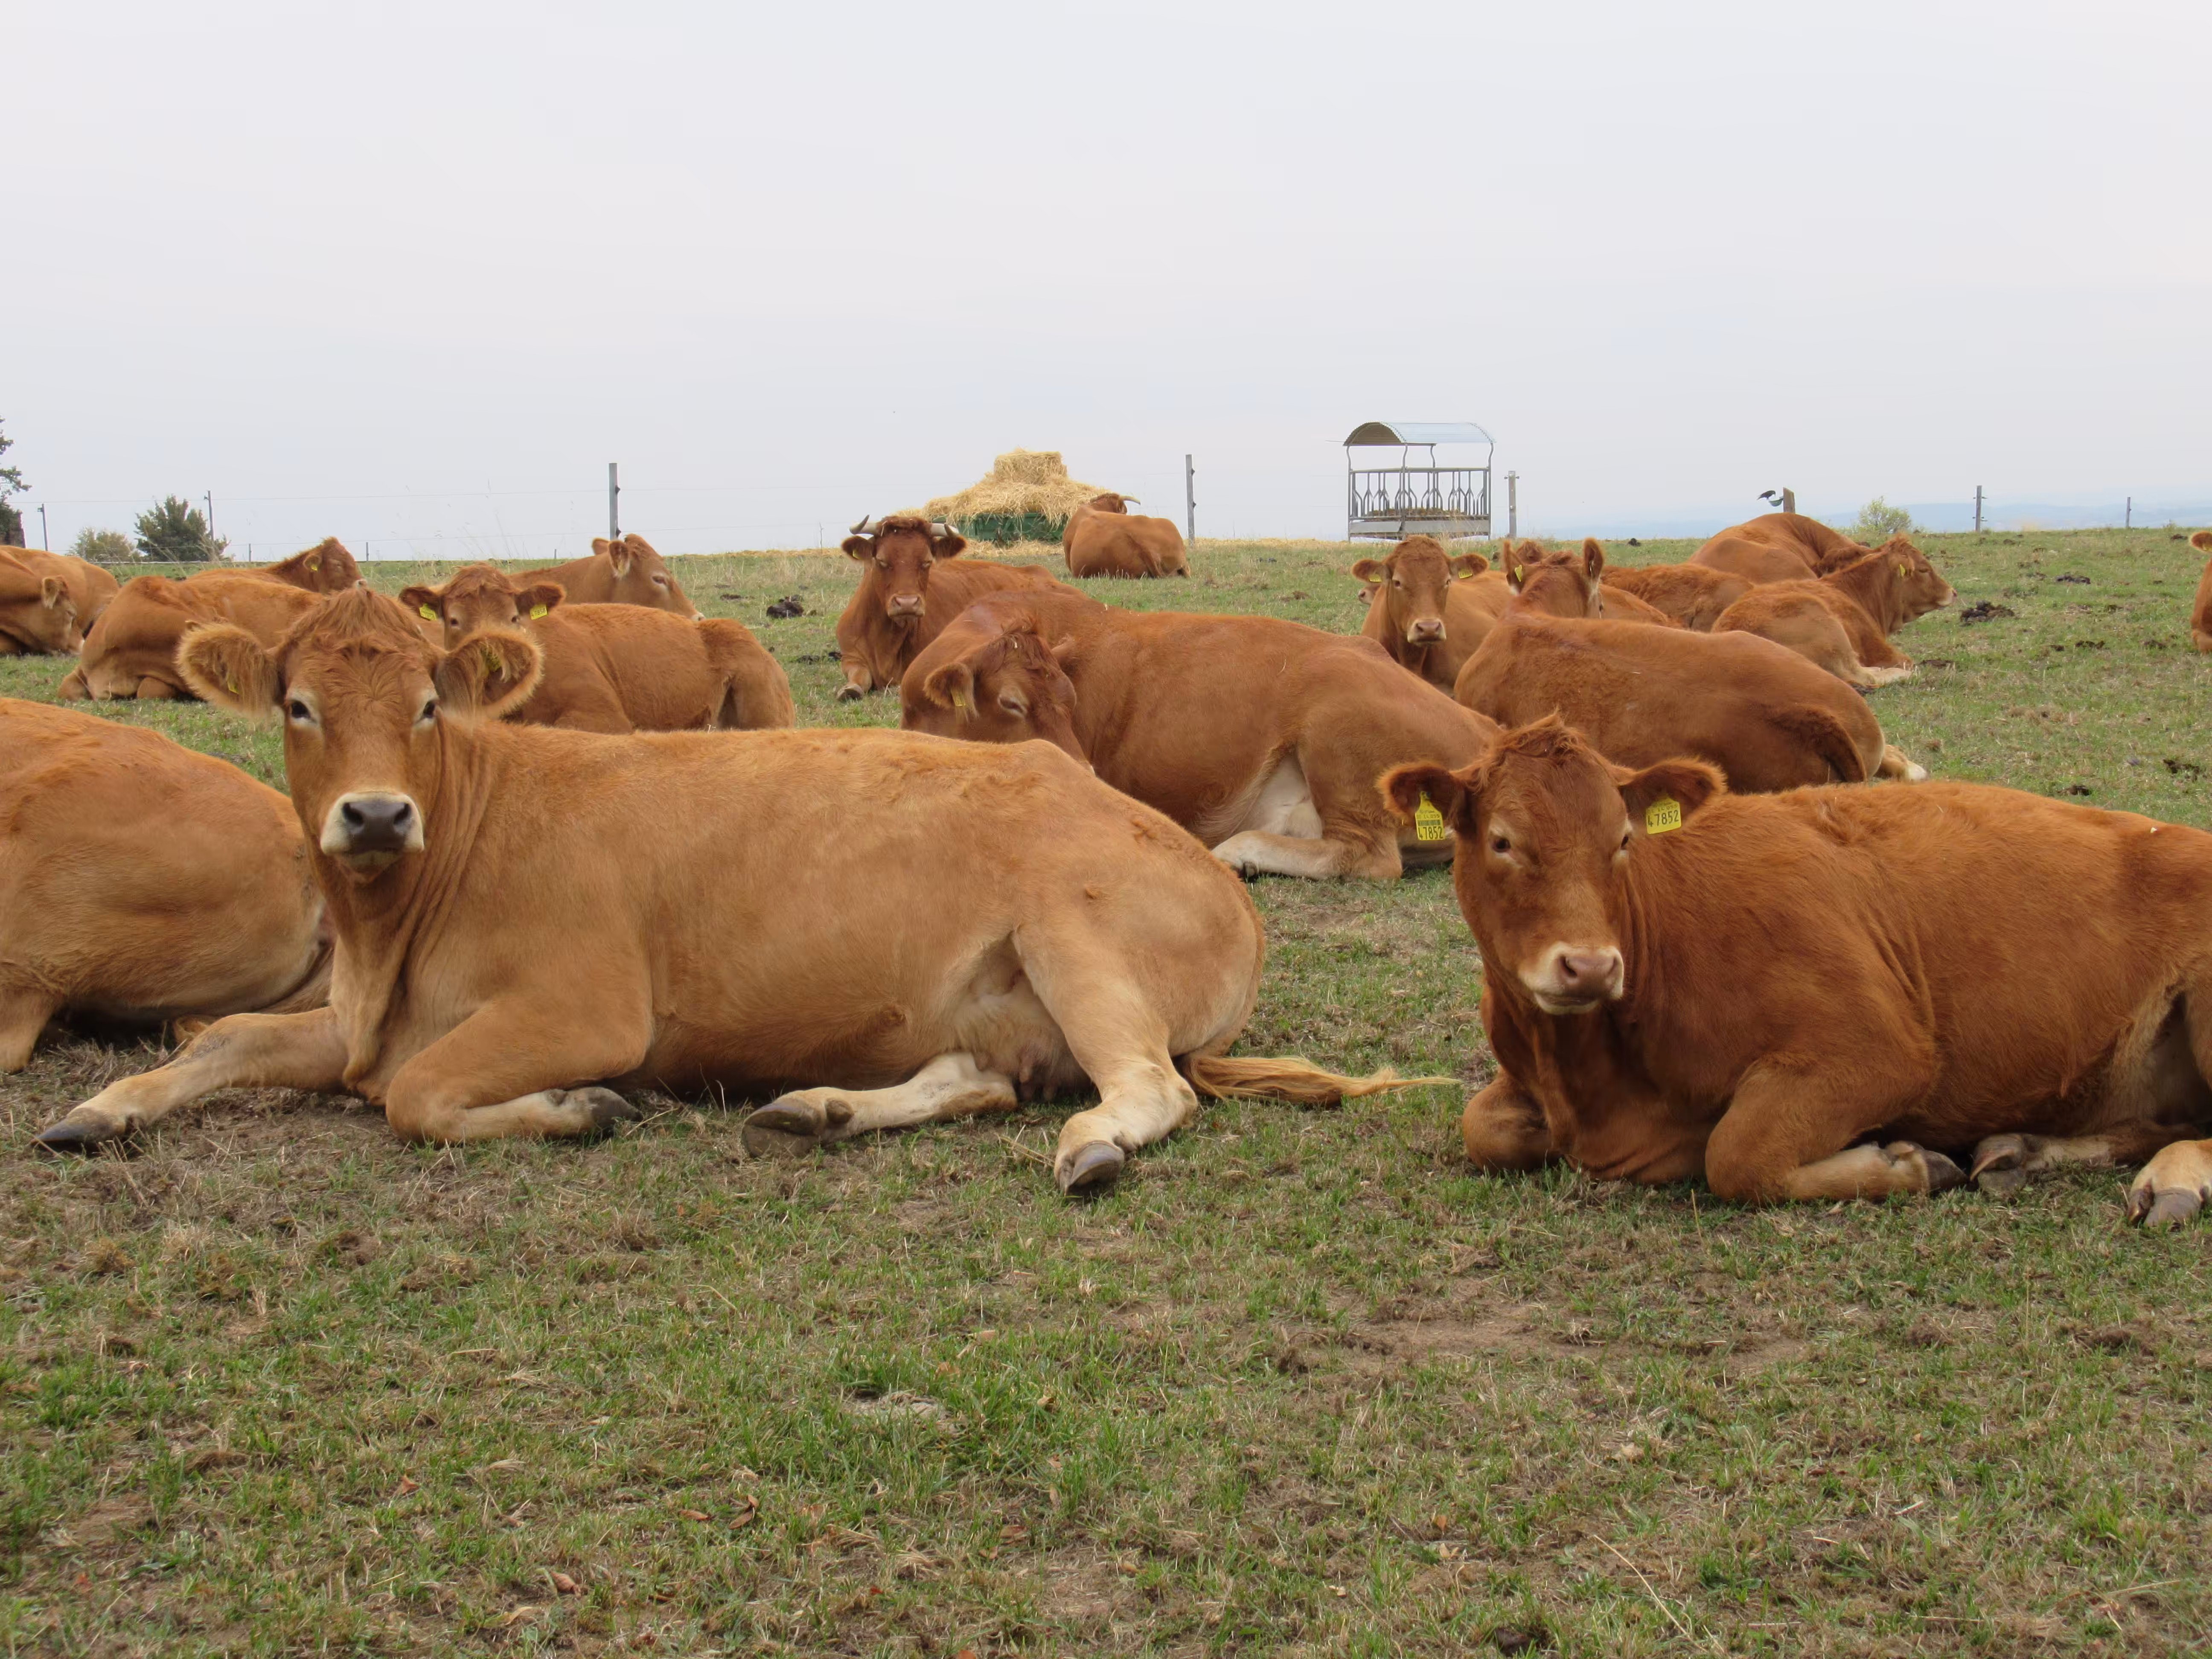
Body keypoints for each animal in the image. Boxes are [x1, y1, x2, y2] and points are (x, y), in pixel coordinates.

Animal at [834, 514, 1077, 701]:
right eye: (882, 561)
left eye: (926, 562)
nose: (907, 603)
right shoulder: (851, 657)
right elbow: (860, 676)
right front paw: (850, 690)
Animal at [900, 588, 1501, 879]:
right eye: (1010, 703)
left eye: (1070, 703)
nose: (1086, 778)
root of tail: (1488, 732)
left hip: (1339, 730)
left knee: (1368, 856)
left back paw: (1236, 854)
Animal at [1380, 716, 2212, 1226]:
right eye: (1501, 840)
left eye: (1621, 839)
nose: (1588, 967)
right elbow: (1481, 1127)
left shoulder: (1879, 1052)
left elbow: (1736, 1154)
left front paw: (1905, 1164)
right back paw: (2025, 1152)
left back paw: (2172, 1181)